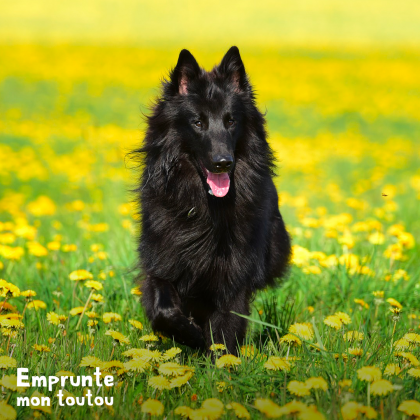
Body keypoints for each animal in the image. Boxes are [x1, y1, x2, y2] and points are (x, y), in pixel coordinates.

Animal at [136, 46, 290, 354]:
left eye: (231, 121)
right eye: (198, 122)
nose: (223, 163)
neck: (205, 207)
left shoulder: (233, 277)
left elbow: (224, 333)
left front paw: (218, 360)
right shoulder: (161, 263)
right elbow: (162, 308)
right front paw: (188, 335)